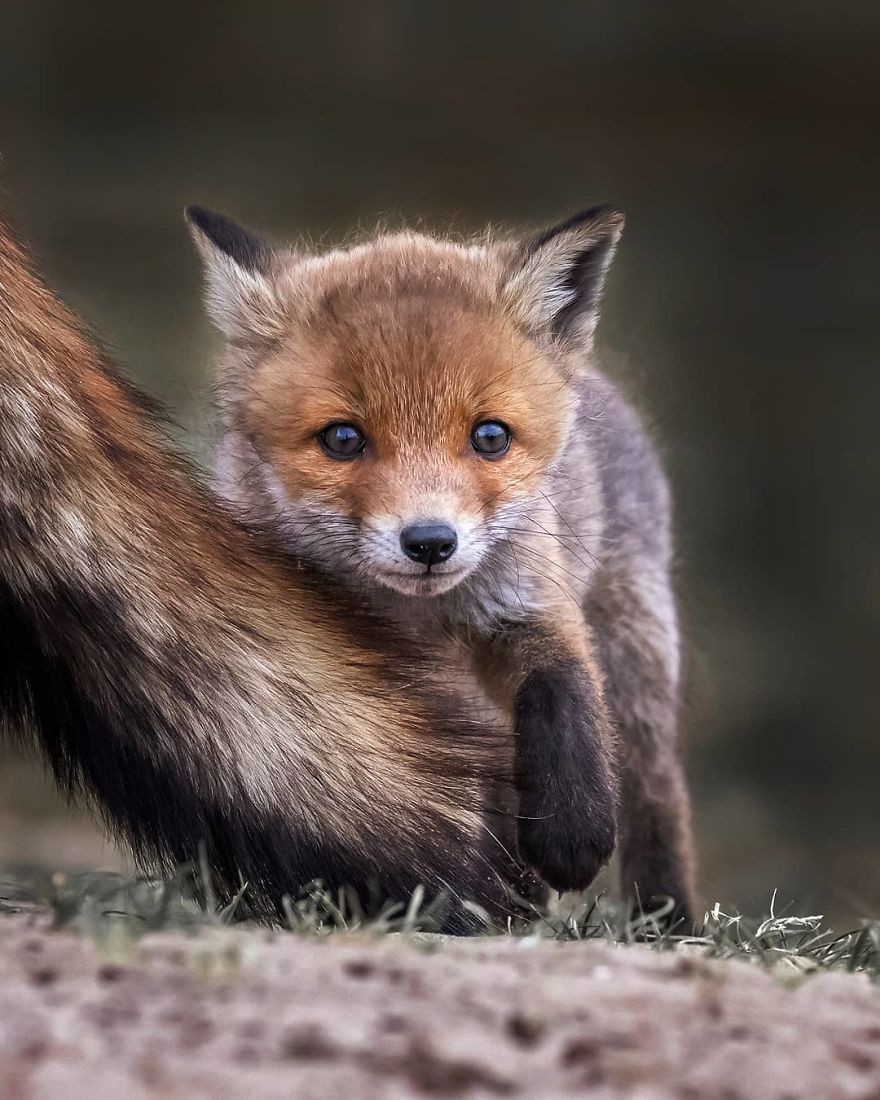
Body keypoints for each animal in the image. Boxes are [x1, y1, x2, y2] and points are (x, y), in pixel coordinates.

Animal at [189, 200, 699, 919]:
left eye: (489, 437)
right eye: (342, 439)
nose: (430, 541)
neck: (420, 618)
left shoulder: (531, 598)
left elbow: (562, 690)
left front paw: (572, 833)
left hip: (637, 663)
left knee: (656, 796)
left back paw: (664, 918)